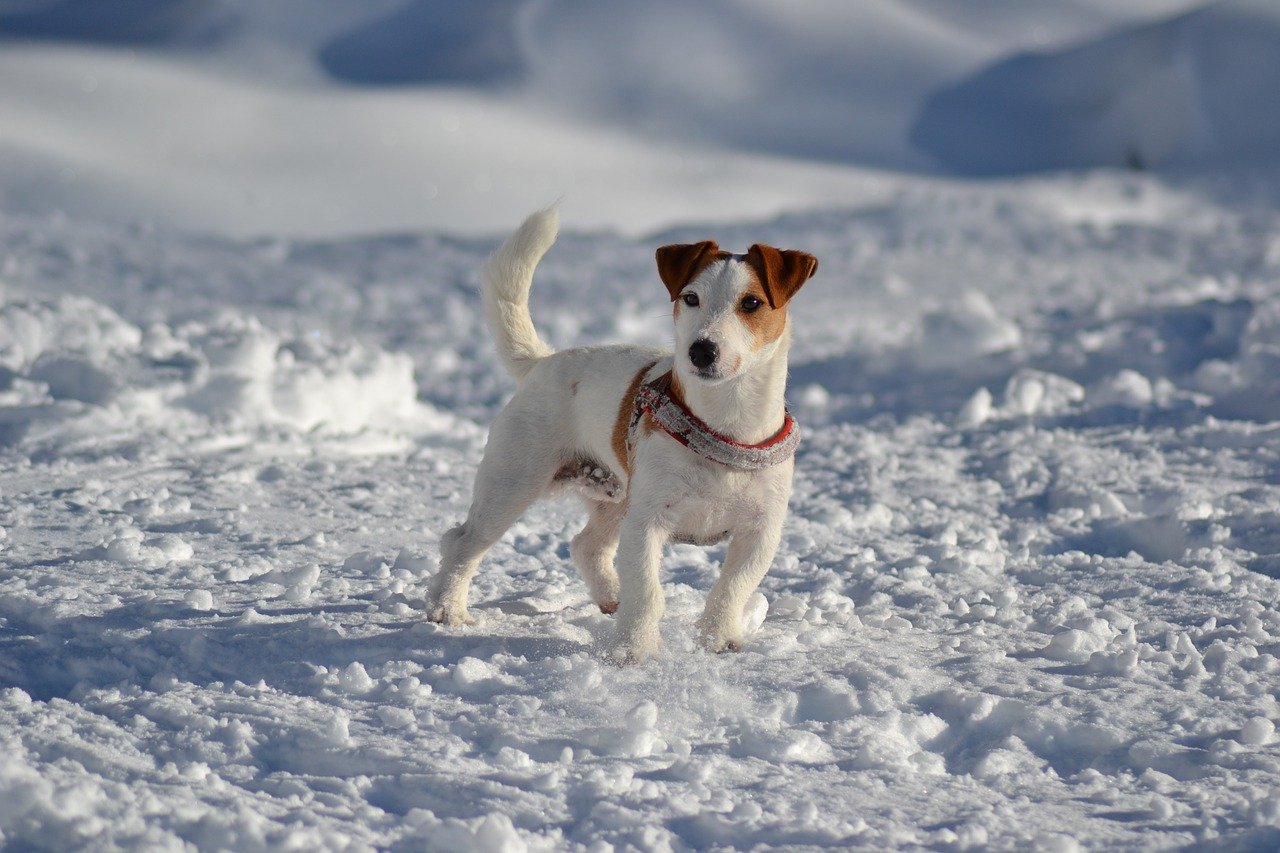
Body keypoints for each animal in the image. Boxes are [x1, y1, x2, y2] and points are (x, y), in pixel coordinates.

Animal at [424, 202, 814, 660]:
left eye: (751, 303)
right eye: (691, 298)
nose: (700, 350)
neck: (725, 422)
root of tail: (544, 361)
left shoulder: (760, 530)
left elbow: (732, 587)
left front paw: (717, 639)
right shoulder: (647, 522)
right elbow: (647, 589)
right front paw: (634, 650)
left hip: (615, 498)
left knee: (586, 546)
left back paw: (612, 597)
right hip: (514, 481)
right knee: (463, 541)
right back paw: (447, 608)